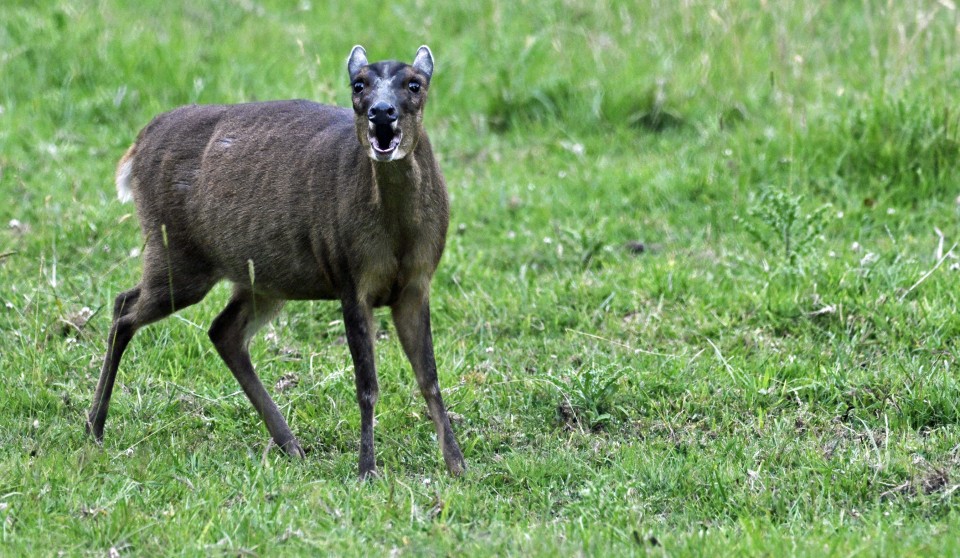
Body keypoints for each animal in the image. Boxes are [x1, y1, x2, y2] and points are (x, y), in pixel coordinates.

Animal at [86, 45, 466, 479]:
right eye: (359, 84)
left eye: (414, 84)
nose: (382, 112)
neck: (398, 235)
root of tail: (139, 143)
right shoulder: (350, 278)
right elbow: (367, 385)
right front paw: (367, 470)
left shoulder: (417, 284)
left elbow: (429, 377)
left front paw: (457, 465)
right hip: (175, 252)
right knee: (124, 307)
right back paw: (94, 427)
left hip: (263, 278)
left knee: (222, 330)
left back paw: (290, 445)